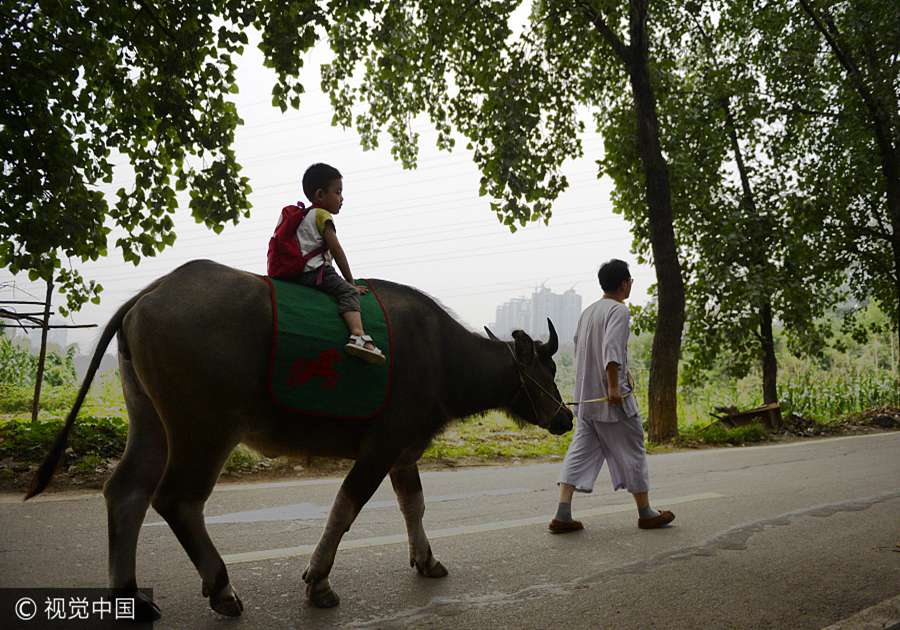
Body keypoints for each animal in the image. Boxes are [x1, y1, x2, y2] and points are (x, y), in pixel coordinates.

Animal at [29, 260, 576, 624]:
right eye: (544, 371)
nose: (566, 417)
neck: (442, 356)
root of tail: (150, 292)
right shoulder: (380, 448)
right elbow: (346, 508)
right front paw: (318, 581)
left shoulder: (403, 453)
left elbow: (413, 507)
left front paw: (426, 560)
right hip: (204, 428)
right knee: (177, 499)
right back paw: (221, 588)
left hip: (150, 421)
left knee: (126, 492)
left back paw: (132, 596)